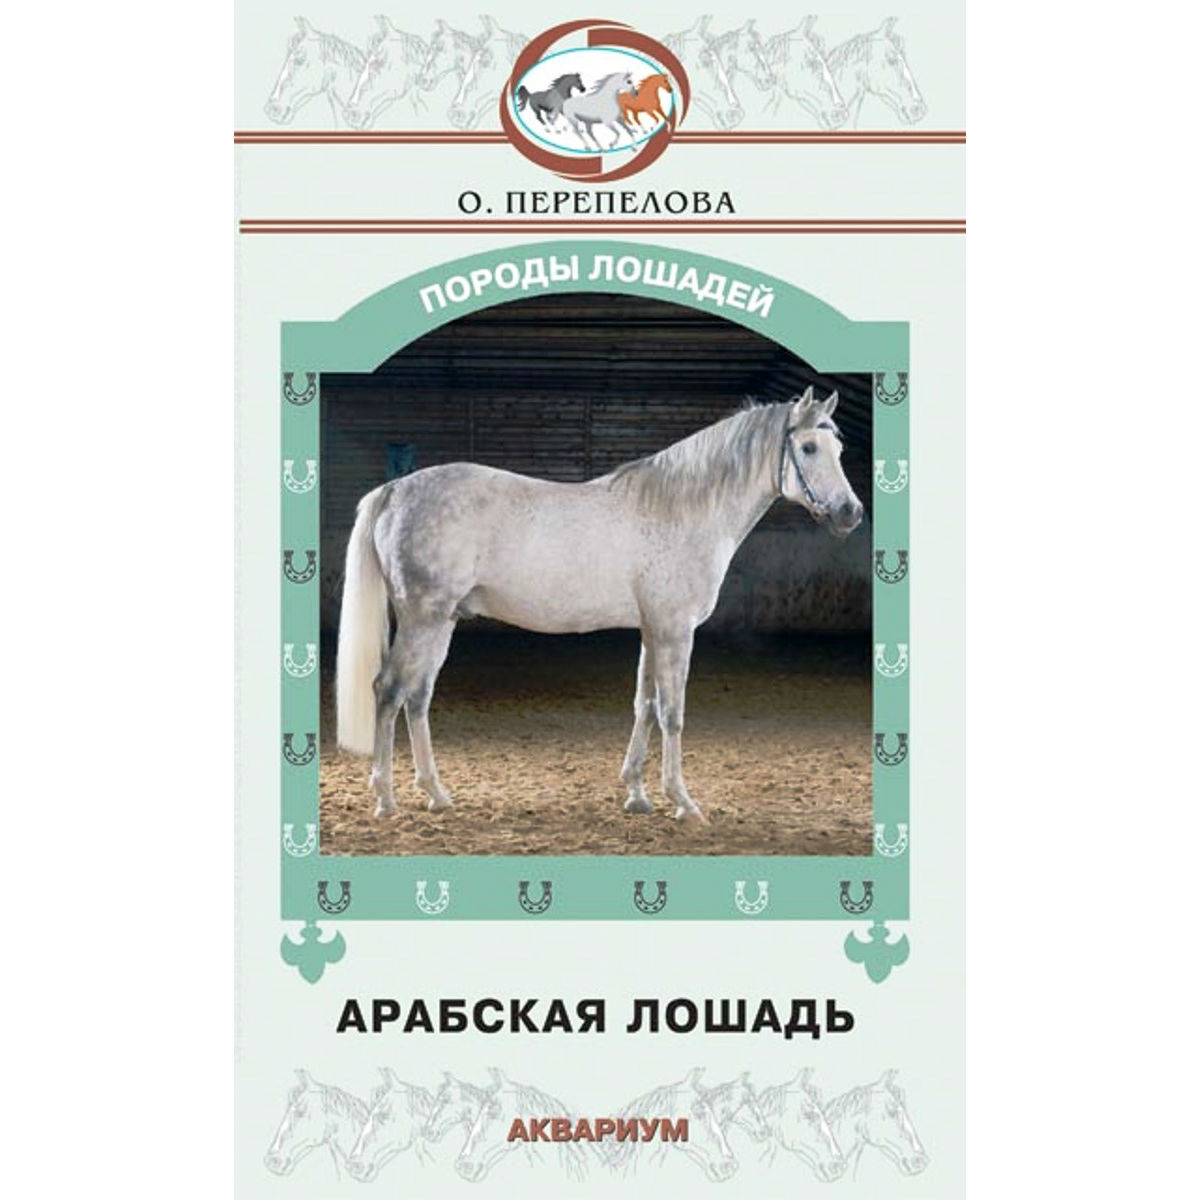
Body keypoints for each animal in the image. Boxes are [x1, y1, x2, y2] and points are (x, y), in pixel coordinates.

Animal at [335, 389, 862, 823]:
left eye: (839, 449)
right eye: (809, 448)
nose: (850, 512)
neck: (682, 510)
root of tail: (394, 490)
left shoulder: (653, 630)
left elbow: (644, 705)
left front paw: (637, 795)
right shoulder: (674, 630)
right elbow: (672, 712)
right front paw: (683, 802)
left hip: (442, 620)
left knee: (417, 696)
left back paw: (436, 793)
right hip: (422, 618)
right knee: (388, 690)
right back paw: (385, 799)